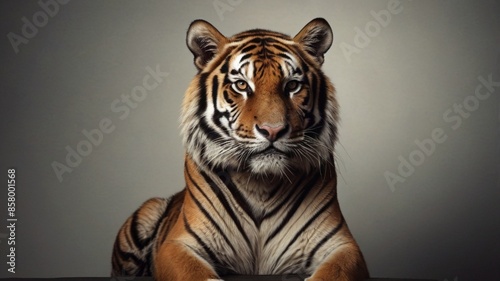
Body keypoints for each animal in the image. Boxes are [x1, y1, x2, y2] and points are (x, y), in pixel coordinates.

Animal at [114, 18, 372, 280]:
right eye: (241, 85)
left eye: (292, 85)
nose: (273, 130)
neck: (261, 183)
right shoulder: (177, 244)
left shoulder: (343, 246)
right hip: (147, 212)